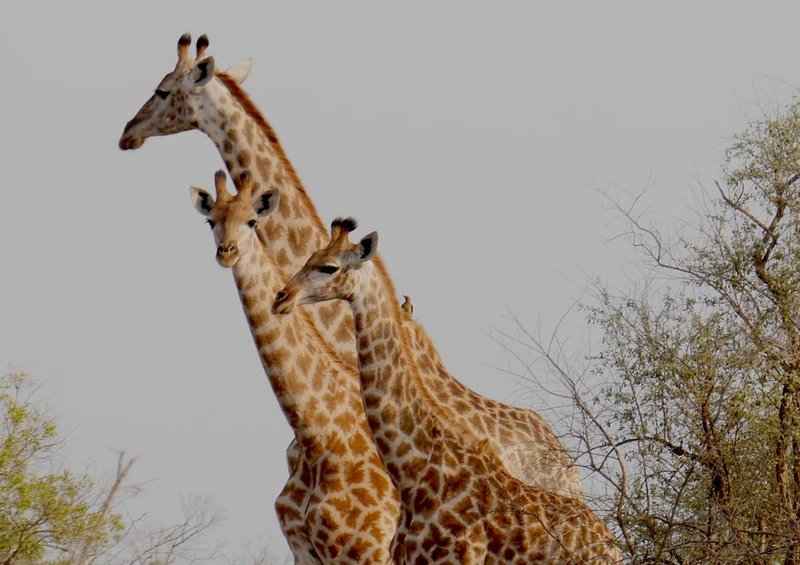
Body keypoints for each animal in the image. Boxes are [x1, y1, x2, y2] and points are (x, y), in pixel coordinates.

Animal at [188, 171, 399, 563]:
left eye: (252, 221)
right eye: (211, 221)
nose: (228, 252)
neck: (318, 434)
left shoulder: (370, 548)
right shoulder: (304, 549)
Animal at [272, 219, 622, 564]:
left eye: (329, 267)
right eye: (310, 257)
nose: (282, 297)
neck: (413, 472)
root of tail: (611, 543)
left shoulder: (455, 558)